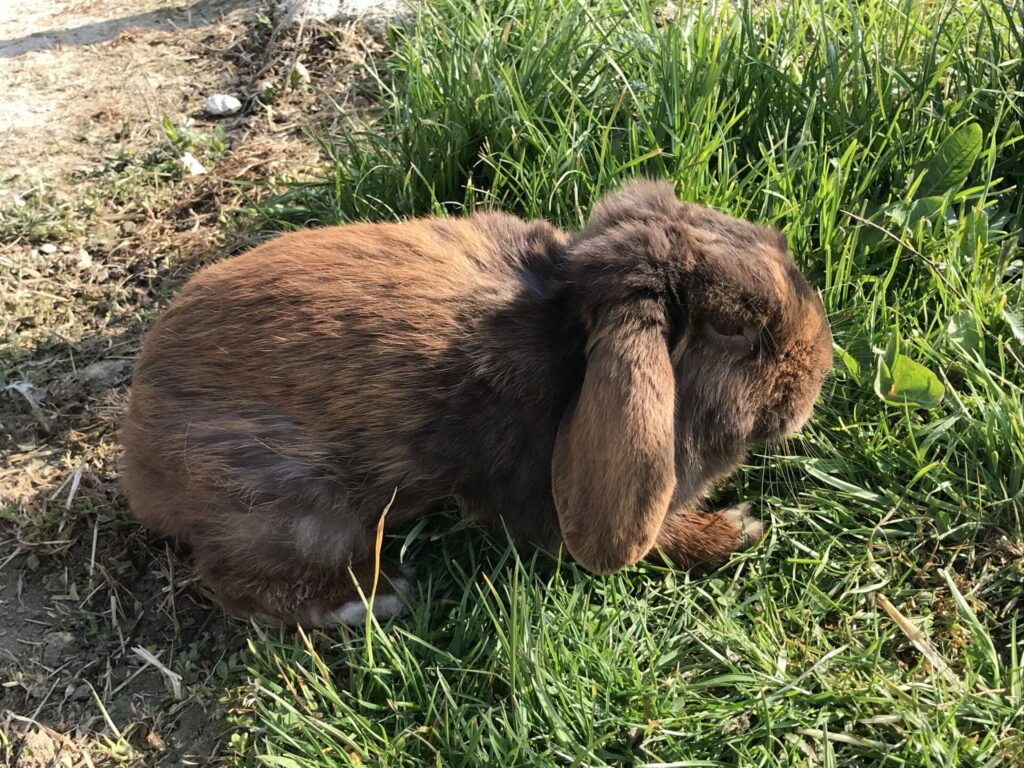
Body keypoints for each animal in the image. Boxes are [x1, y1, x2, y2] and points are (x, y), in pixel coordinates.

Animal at [120, 180, 833, 627]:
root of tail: (137, 457)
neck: (571, 344)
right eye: (734, 327)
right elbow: (650, 536)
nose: (820, 371)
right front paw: (737, 530)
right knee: (236, 581)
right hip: (292, 506)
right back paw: (377, 598)